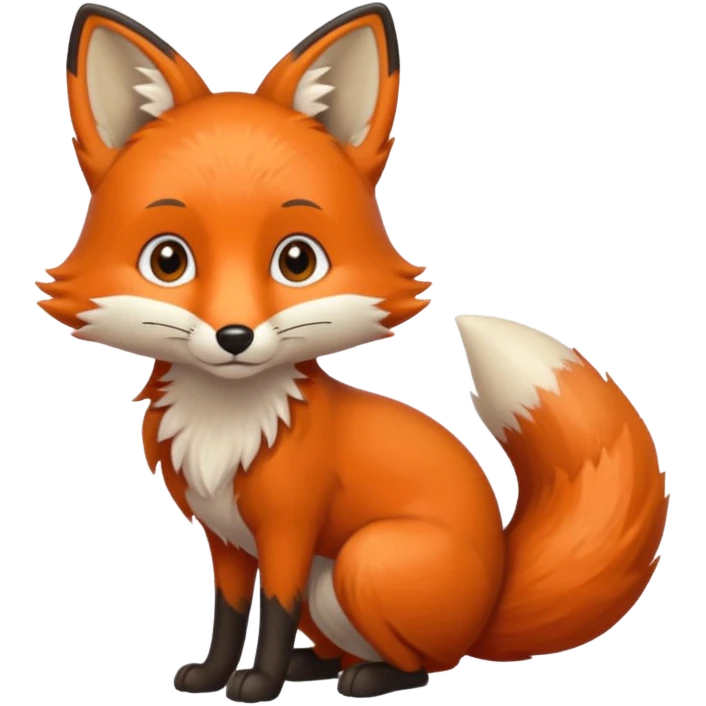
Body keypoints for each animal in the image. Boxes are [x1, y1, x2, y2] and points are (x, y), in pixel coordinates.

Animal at [39, 2, 670, 702]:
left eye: (297, 260)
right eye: (168, 260)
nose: (235, 337)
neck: (229, 425)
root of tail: (491, 602)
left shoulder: (288, 530)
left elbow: (273, 612)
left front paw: (258, 684)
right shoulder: (225, 539)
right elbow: (229, 613)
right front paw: (212, 674)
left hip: (365, 561)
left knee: (425, 663)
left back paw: (368, 677)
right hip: (332, 588)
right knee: (348, 647)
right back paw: (316, 667)